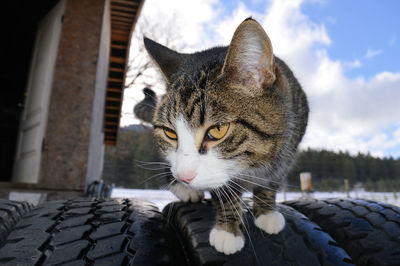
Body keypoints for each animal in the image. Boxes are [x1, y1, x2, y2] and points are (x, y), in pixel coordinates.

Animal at [144, 17, 310, 255]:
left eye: (218, 130)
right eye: (170, 133)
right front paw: (228, 230)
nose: (185, 176)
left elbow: (273, 180)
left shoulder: (290, 144)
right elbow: (224, 192)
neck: (252, 165)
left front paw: (267, 211)